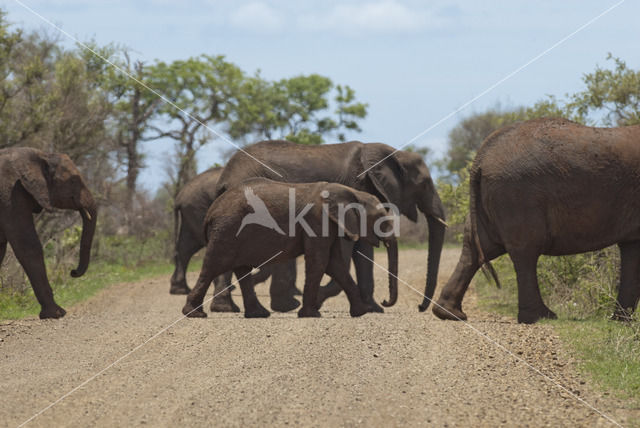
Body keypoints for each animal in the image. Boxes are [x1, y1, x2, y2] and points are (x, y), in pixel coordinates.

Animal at [0, 147, 97, 318]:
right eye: (73, 181)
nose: (73, 272)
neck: (41, 155)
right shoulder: (10, 194)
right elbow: (28, 246)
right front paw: (57, 313)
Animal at [182, 178, 398, 318]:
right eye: (380, 218)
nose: (385, 301)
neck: (350, 192)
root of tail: (211, 211)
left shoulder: (332, 224)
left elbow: (335, 264)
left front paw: (360, 313)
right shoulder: (316, 221)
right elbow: (319, 262)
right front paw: (311, 315)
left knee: (241, 269)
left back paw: (259, 314)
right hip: (226, 230)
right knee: (213, 266)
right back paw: (194, 314)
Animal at [214, 140, 444, 310]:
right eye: (424, 184)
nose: (419, 307)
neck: (393, 153)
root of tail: (225, 177)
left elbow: (362, 250)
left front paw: (373, 309)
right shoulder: (355, 186)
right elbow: (349, 248)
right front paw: (319, 300)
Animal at [432, 118, 640, 324]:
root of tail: (481, 158)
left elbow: (632, 249)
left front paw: (621, 321)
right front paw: (623, 321)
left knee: (477, 248)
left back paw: (449, 313)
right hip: (517, 194)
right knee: (525, 249)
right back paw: (541, 316)